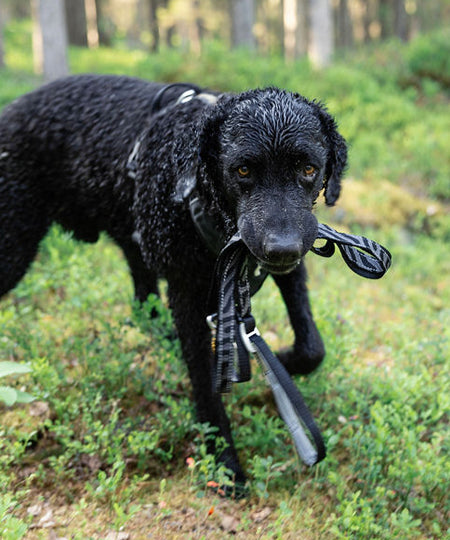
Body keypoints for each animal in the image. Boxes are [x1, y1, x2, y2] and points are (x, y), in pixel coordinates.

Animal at [0, 75, 348, 480]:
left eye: (308, 169)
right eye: (243, 170)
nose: (282, 248)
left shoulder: (286, 265)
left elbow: (312, 348)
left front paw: (283, 359)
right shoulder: (187, 294)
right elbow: (206, 387)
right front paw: (225, 464)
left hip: (134, 238)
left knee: (143, 307)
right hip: (14, 243)